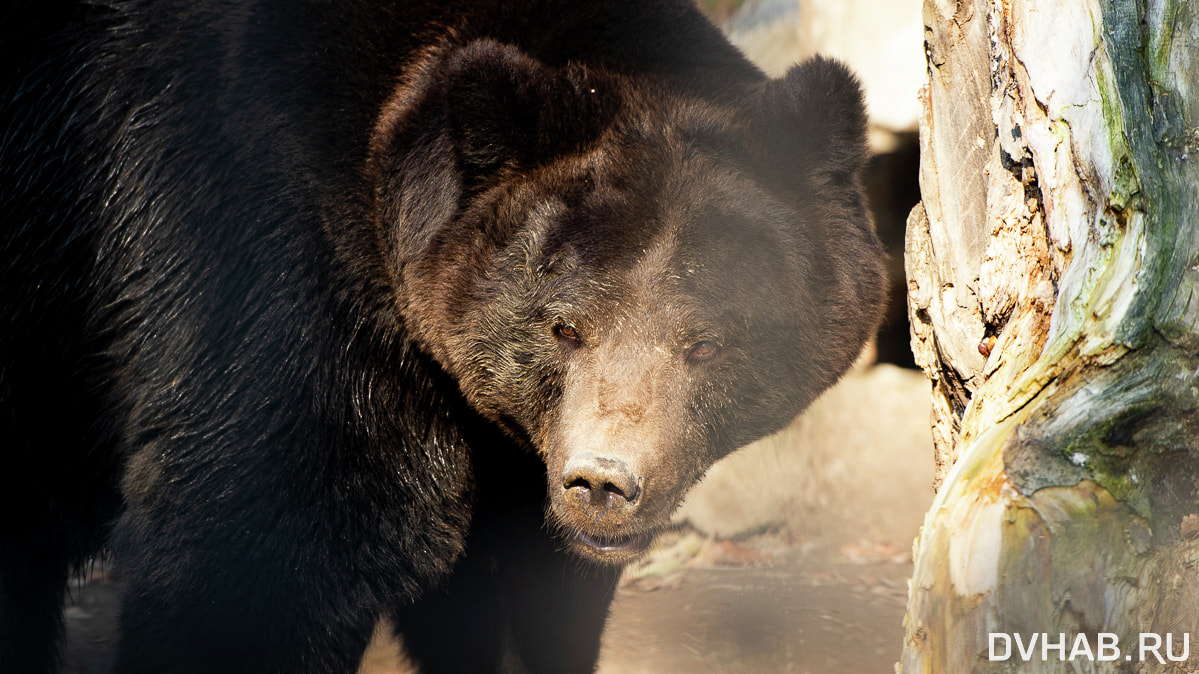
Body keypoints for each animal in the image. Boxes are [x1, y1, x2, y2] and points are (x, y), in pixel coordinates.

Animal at [0, 1, 882, 671]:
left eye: (702, 341)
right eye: (565, 326)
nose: (600, 482)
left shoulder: (506, 458)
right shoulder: (256, 268)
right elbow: (258, 551)